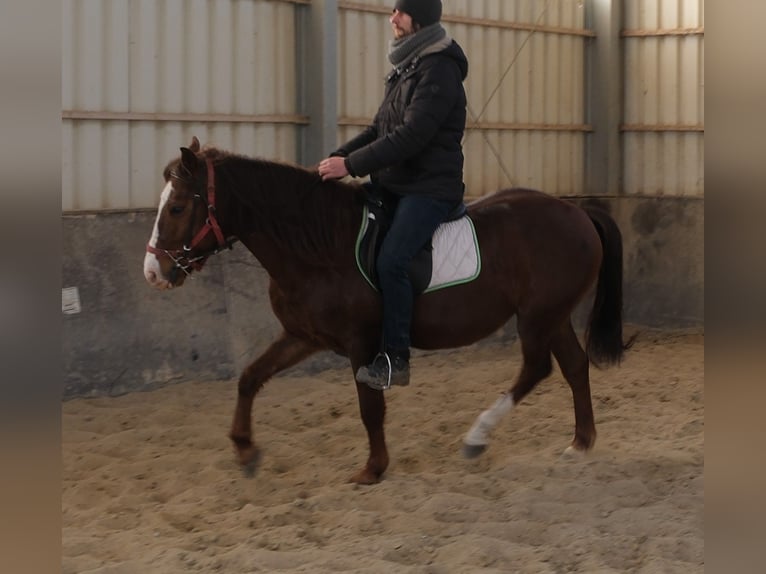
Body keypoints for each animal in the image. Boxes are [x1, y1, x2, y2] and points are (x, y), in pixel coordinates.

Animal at [143, 136, 629, 484]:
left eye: (179, 206)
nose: (154, 271)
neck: (320, 244)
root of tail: (577, 212)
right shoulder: (304, 336)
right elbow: (250, 377)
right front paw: (245, 450)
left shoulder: (363, 344)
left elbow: (369, 406)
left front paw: (373, 468)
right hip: (553, 315)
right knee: (573, 366)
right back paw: (580, 443)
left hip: (537, 316)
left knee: (537, 368)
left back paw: (478, 437)